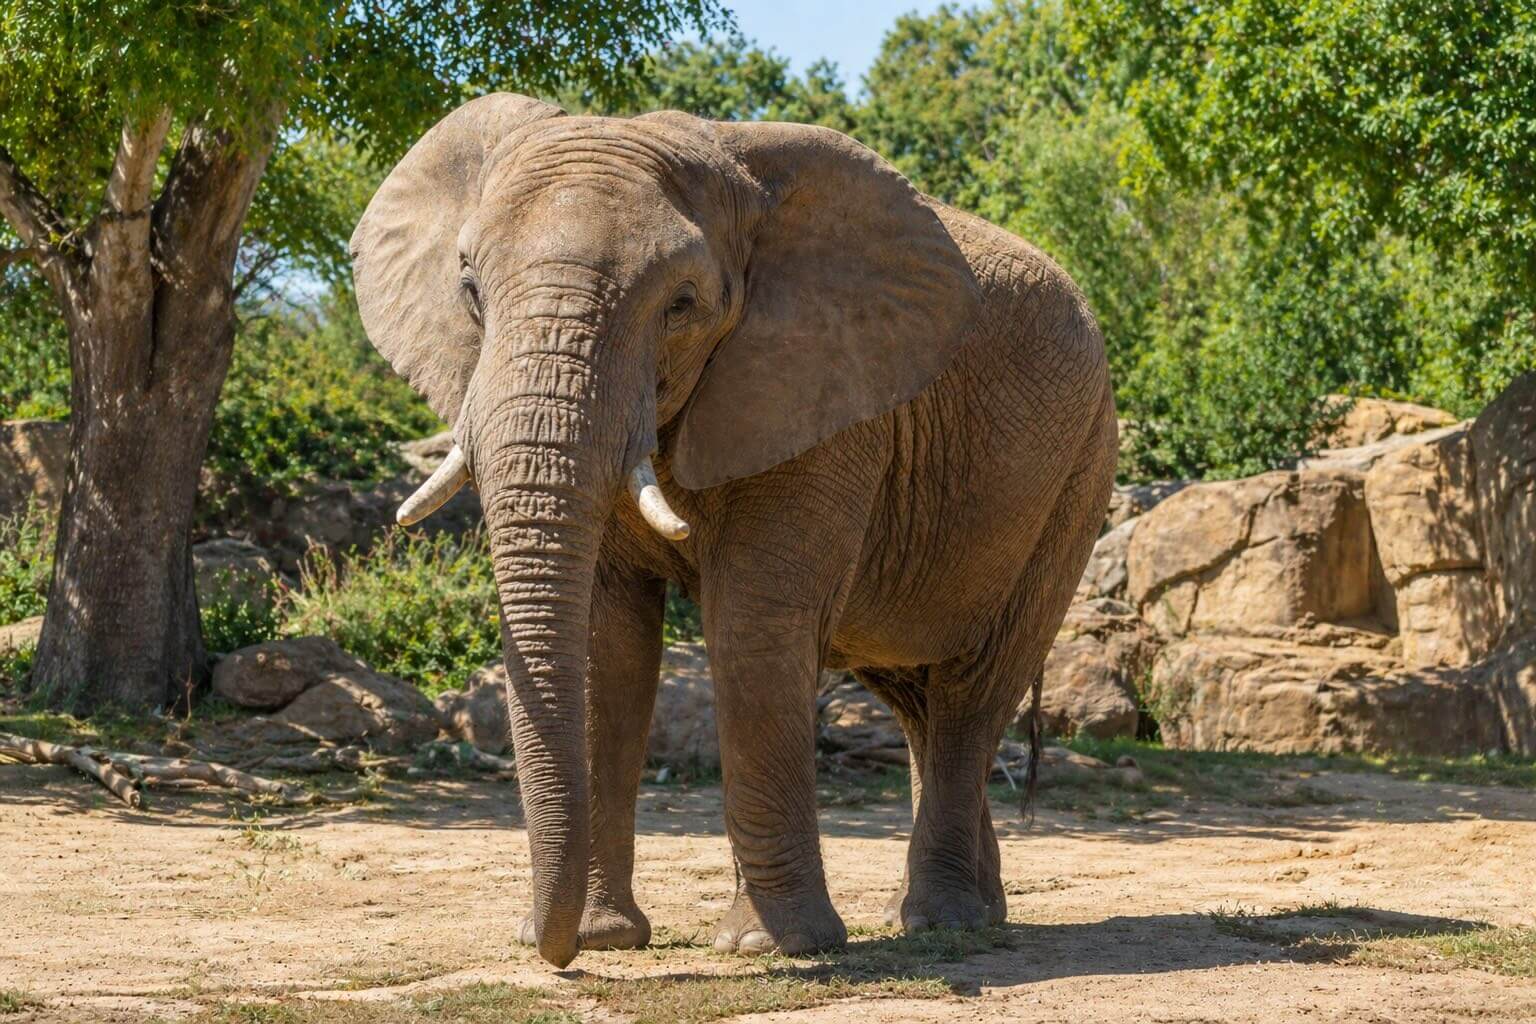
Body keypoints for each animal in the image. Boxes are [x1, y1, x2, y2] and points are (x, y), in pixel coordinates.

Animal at [349, 93, 1116, 969]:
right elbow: (605, 643)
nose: (553, 953)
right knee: (918, 701)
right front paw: (607, 938)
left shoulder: (825, 391)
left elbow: (752, 623)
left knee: (972, 693)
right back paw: (971, 913)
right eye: (471, 289)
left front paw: (770, 946)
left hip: (1079, 473)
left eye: (681, 304)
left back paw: (943, 921)